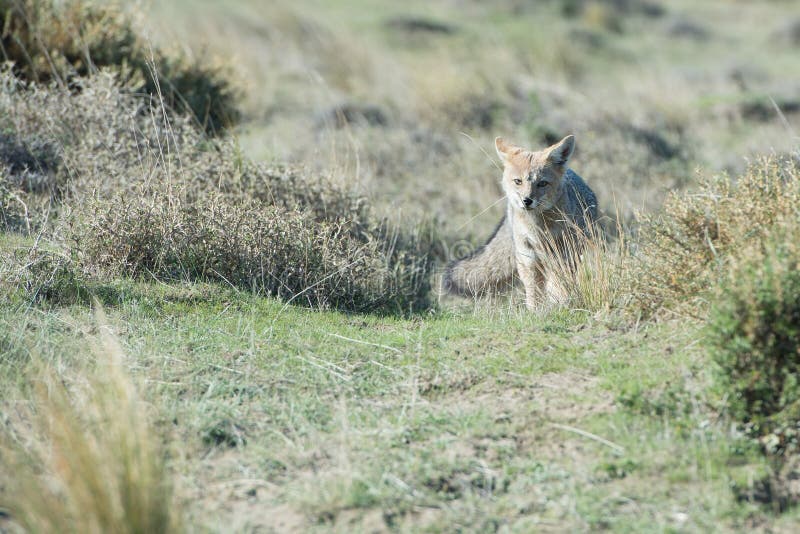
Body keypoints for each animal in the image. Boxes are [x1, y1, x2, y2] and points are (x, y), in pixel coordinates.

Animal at [443, 134, 598, 309]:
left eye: (542, 183)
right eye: (518, 181)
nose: (527, 200)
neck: (538, 229)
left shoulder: (562, 257)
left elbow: (558, 285)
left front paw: (560, 304)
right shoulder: (528, 260)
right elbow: (534, 293)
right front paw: (535, 311)